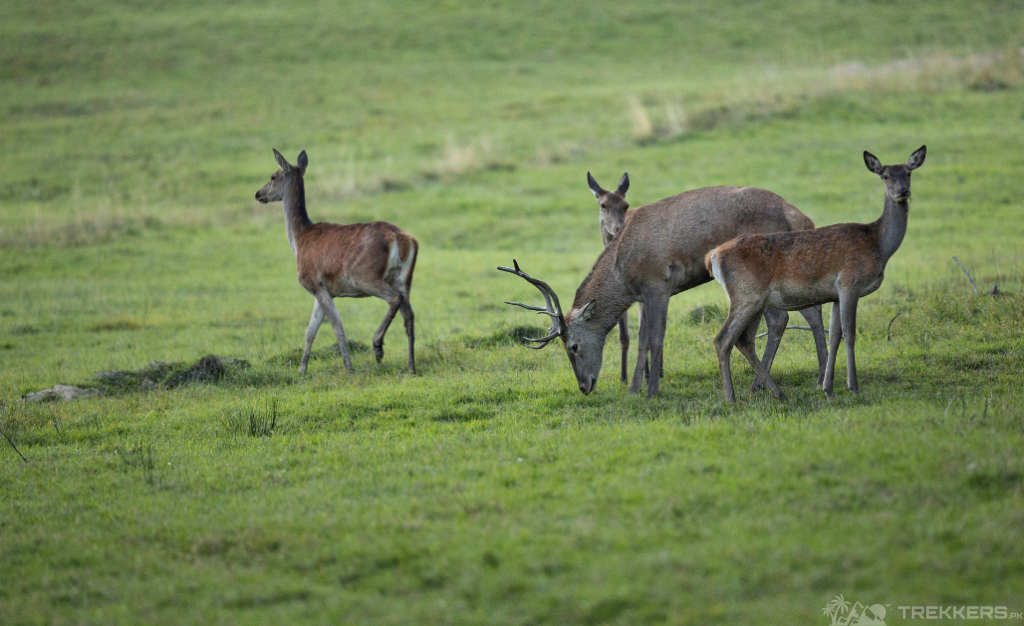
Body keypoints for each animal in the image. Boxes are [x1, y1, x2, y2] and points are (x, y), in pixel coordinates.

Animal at [255, 149, 418, 375]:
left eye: (272, 176)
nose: (258, 194)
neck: (299, 239)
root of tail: (400, 238)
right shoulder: (322, 290)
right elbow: (310, 330)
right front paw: (302, 370)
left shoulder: (315, 284)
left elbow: (337, 326)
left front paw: (348, 367)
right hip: (403, 277)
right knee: (409, 314)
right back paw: (411, 366)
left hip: (364, 275)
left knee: (394, 299)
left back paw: (377, 346)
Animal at [500, 185, 830, 398]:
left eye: (573, 346)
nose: (584, 386)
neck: (622, 272)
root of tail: (798, 215)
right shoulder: (647, 293)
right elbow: (645, 339)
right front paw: (637, 387)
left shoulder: (657, 283)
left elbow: (654, 338)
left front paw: (648, 391)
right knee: (804, 313)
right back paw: (806, 378)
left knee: (785, 318)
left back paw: (772, 384)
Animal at [704, 146, 926, 402]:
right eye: (885, 176)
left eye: (908, 173)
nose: (902, 192)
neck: (878, 245)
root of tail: (712, 257)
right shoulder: (850, 282)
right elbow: (850, 333)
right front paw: (853, 387)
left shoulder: (836, 293)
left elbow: (835, 335)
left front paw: (828, 388)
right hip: (746, 295)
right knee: (723, 339)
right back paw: (731, 398)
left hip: (755, 300)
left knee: (745, 340)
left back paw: (777, 393)